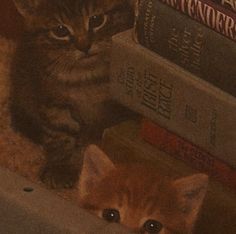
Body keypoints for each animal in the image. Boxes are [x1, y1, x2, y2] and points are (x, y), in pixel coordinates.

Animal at [10, 0, 135, 187]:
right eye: (60, 30)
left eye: (96, 20)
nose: (84, 46)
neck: (85, 75)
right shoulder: (52, 103)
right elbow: (60, 135)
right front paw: (62, 167)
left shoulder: (113, 109)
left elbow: (95, 137)